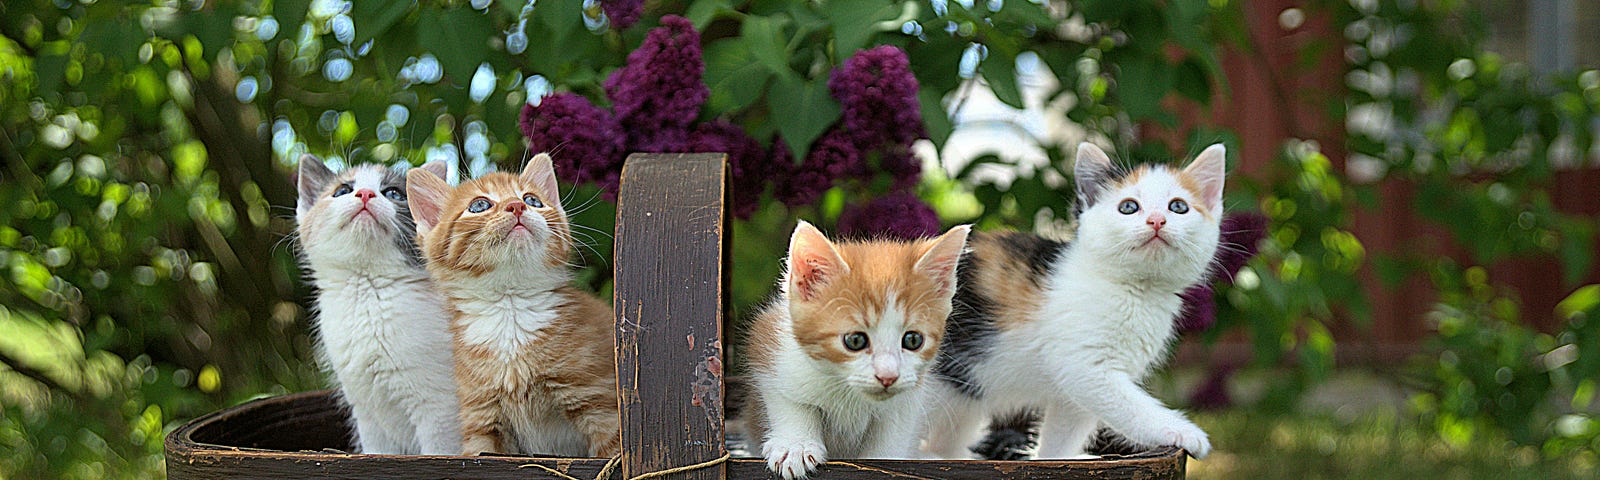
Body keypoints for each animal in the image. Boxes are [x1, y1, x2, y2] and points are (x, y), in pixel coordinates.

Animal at [294, 156, 464, 454]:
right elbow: (377, 453)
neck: (368, 291)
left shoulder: (440, 409)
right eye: (342, 191)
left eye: (393, 193)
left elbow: (439, 452)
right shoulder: (367, 414)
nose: (365, 193)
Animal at [406, 153, 617, 457]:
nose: (517, 206)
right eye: (479, 205)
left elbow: (613, 455)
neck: (510, 308)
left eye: (533, 200)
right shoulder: (481, 418)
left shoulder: (599, 404)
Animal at [739, 220, 972, 476]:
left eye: (913, 340)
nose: (888, 377)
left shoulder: (910, 395)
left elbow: (894, 431)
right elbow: (789, 400)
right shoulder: (770, 344)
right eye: (855, 341)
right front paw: (796, 445)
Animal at [921, 143, 1216, 460]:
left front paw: (1053, 458)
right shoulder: (1084, 366)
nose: (1157, 220)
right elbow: (1132, 407)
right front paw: (1182, 431)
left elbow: (1063, 432)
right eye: (1128, 207)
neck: (1135, 290)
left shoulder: (1075, 391)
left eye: (1178, 207)